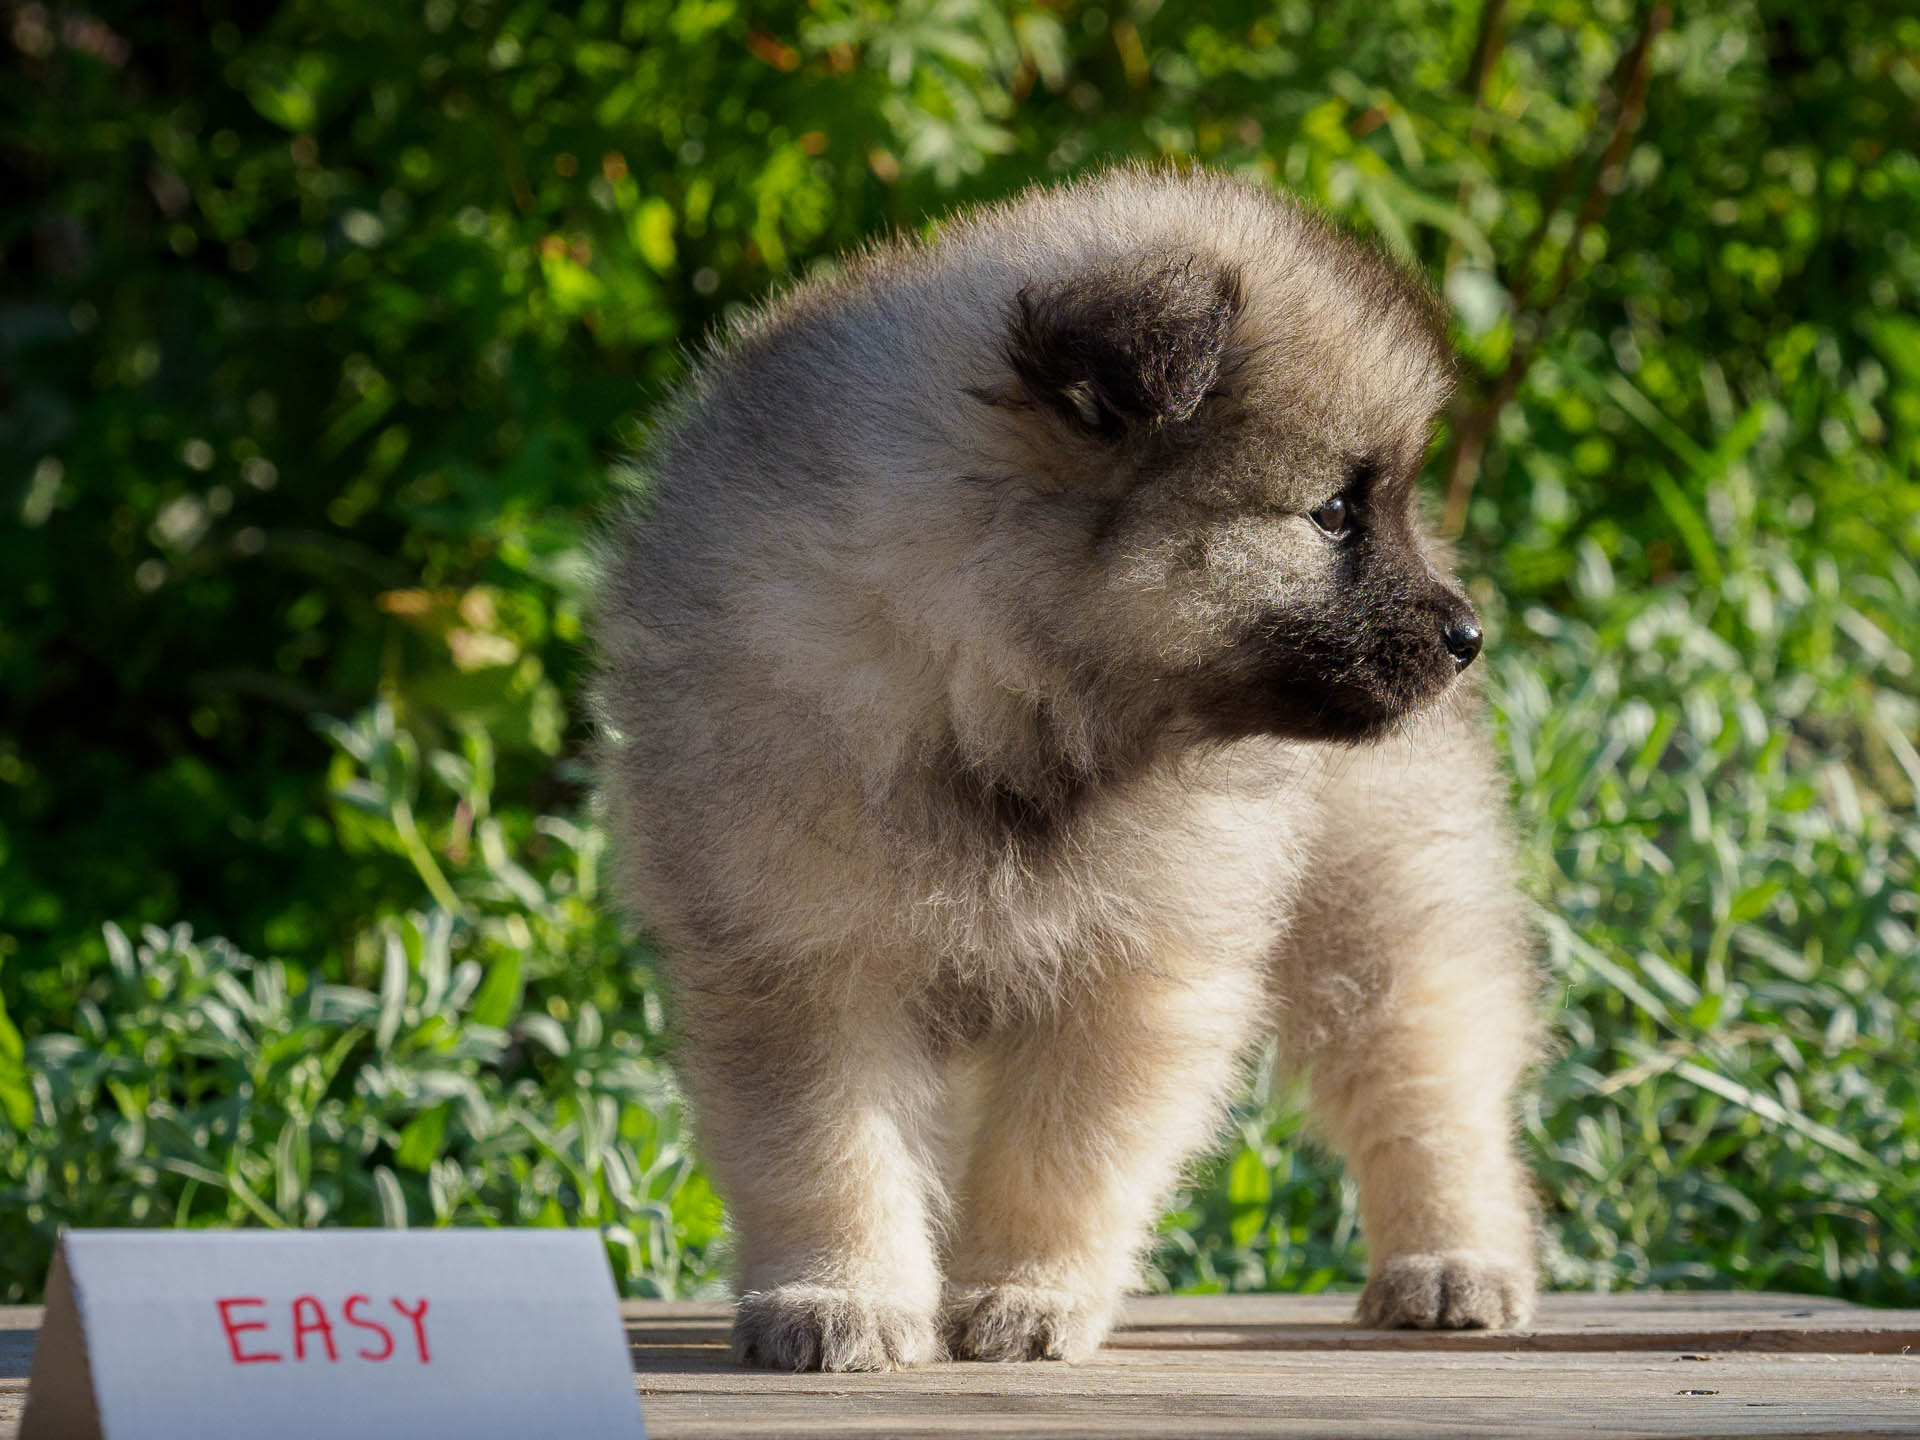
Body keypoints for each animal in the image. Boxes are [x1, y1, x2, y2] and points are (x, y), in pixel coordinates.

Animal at [591, 166, 1536, 1374]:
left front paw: (1022, 1291)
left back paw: (1452, 1260)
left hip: (1377, 897)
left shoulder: (1127, 969)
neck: (986, 695)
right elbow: (826, 1151)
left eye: (1376, 506)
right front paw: (842, 1294)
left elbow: (1061, 1157)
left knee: (1428, 1082)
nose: (1467, 637)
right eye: (1331, 514)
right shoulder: (801, 958)